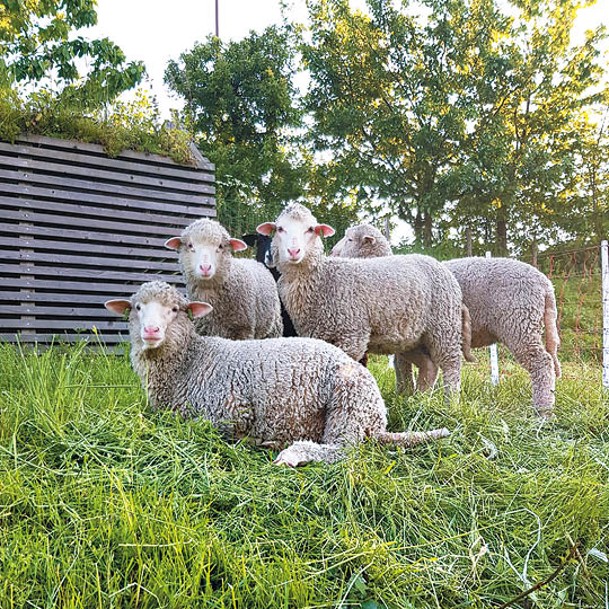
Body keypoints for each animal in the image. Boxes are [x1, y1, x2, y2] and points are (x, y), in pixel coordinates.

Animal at [104, 280, 448, 466]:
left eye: (175, 310)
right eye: (136, 308)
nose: (150, 331)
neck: (191, 362)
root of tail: (377, 423)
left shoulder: (232, 410)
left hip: (348, 402)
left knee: (343, 451)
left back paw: (291, 453)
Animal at [255, 202, 466, 396]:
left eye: (310, 229)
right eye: (280, 228)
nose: (294, 251)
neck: (324, 278)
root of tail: (435, 261)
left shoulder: (352, 335)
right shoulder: (319, 335)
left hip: (443, 326)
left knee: (451, 365)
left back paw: (449, 402)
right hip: (410, 337)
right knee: (429, 366)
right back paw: (420, 400)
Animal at [332, 223, 560, 418]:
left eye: (349, 239)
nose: (333, 252)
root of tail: (545, 284)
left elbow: (402, 366)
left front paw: (404, 394)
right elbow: (405, 366)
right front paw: (408, 395)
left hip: (519, 323)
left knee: (541, 362)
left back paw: (542, 410)